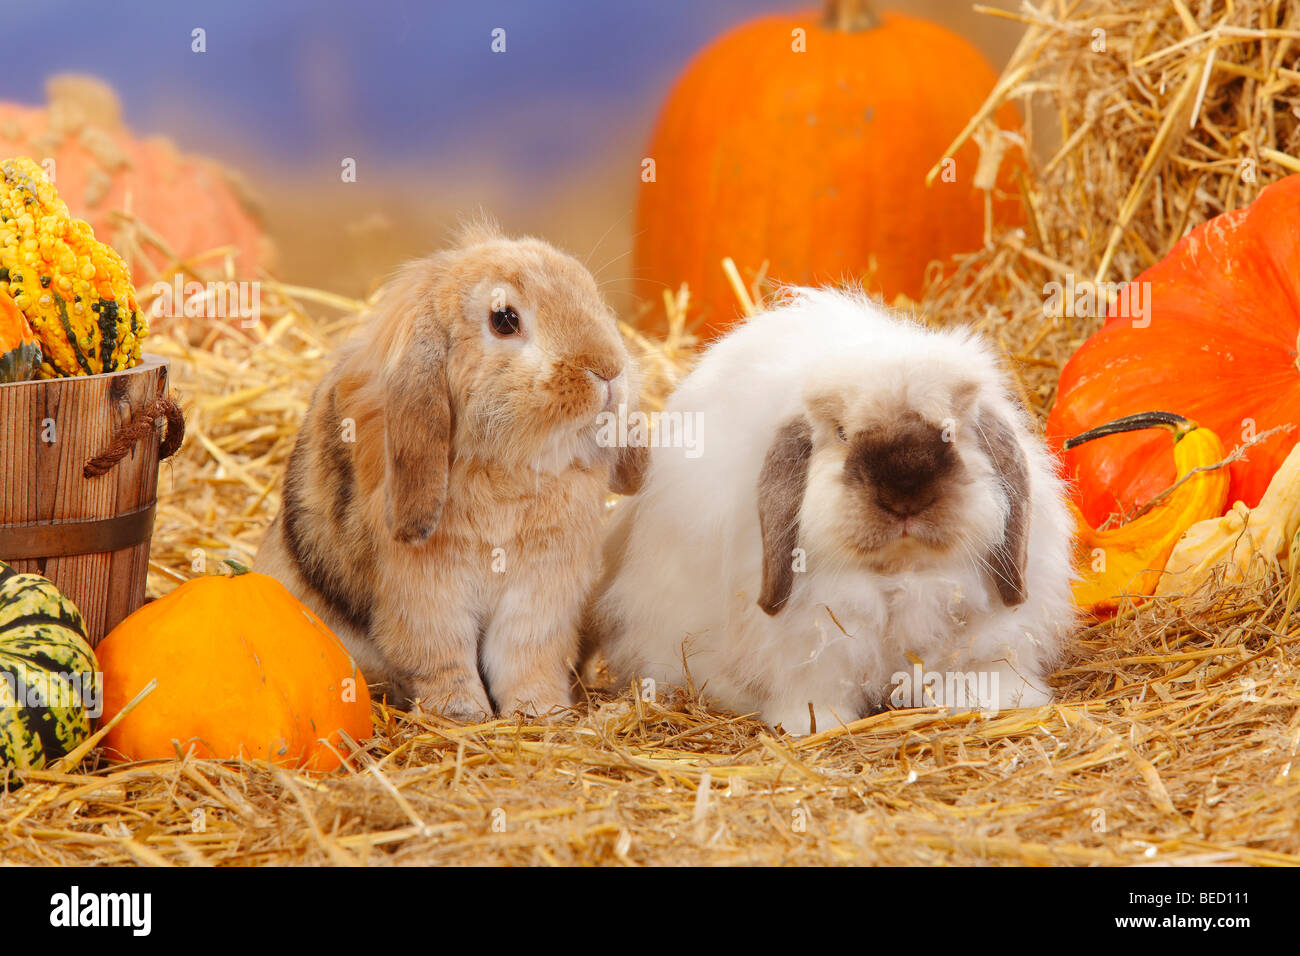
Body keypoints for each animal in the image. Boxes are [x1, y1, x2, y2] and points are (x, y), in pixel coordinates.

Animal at [256, 220, 647, 719]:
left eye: (591, 294)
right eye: (505, 319)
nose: (608, 369)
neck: (509, 471)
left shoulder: (540, 590)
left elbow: (526, 657)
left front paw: (541, 714)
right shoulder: (426, 595)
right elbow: (441, 657)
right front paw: (464, 715)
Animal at [584, 288, 1076, 735]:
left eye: (951, 433)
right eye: (841, 434)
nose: (904, 498)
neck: (899, 576)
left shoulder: (986, 634)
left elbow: (983, 668)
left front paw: (1001, 701)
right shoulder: (811, 645)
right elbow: (815, 689)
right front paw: (813, 724)